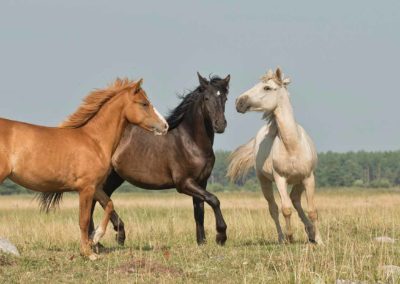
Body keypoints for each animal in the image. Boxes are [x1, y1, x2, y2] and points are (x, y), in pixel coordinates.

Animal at [1, 78, 167, 260]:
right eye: (144, 103)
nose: (165, 126)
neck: (94, 141)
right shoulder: (85, 188)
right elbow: (84, 220)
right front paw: (89, 253)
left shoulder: (95, 187)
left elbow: (109, 205)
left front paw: (95, 238)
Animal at [89, 73, 230, 246]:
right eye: (206, 98)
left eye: (224, 98)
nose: (220, 125)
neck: (190, 141)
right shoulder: (184, 183)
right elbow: (214, 199)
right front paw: (221, 236)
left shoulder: (201, 182)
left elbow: (199, 211)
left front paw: (201, 242)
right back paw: (112, 235)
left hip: (114, 177)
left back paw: (99, 239)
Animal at [228, 67, 322, 244]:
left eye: (267, 88)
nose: (239, 102)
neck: (292, 146)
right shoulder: (280, 179)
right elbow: (285, 209)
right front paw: (290, 237)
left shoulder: (308, 178)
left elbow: (312, 210)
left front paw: (319, 240)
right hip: (264, 181)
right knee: (274, 208)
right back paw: (282, 238)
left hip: (299, 181)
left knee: (295, 200)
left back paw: (310, 232)